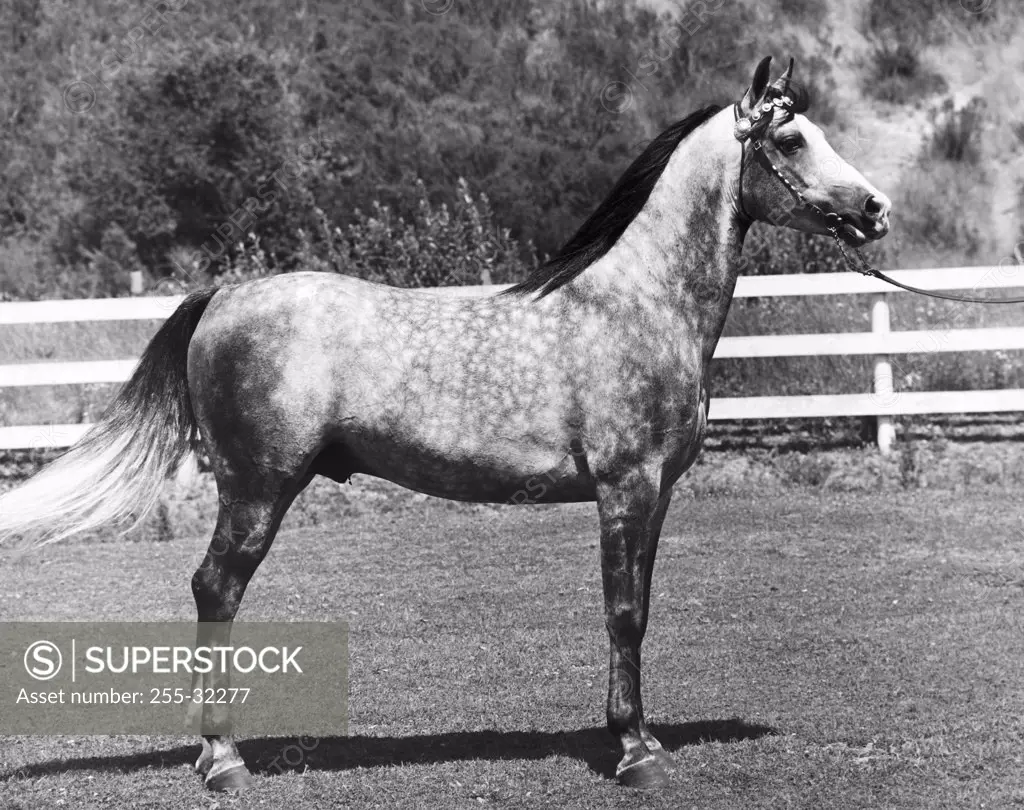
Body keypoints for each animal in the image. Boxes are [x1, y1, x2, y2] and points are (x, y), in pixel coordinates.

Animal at [0, 58, 888, 790]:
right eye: (793, 138)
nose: (876, 209)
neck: (636, 302)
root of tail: (225, 294)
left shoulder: (657, 493)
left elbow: (639, 607)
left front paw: (644, 738)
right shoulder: (624, 489)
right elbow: (622, 613)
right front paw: (633, 751)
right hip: (255, 490)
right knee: (215, 589)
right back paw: (222, 759)